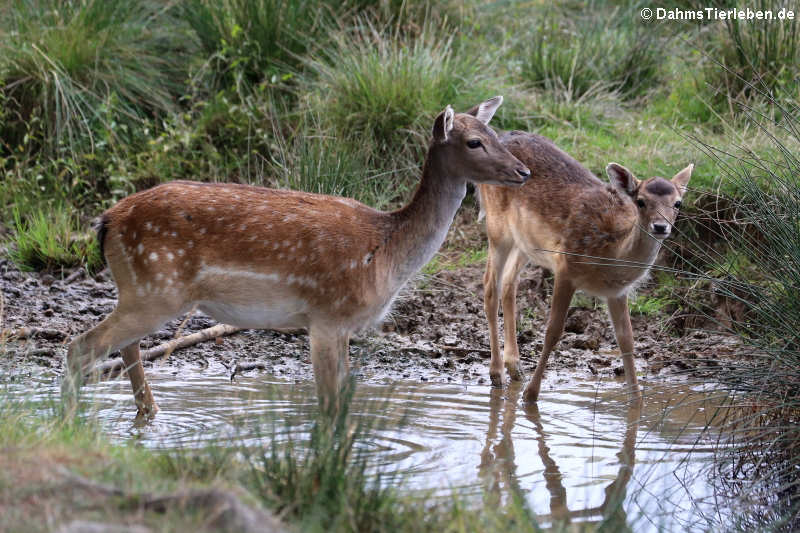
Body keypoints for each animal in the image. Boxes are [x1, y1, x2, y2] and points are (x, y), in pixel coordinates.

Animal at [65, 97, 532, 418]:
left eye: (498, 135)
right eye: (474, 142)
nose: (524, 172)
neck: (384, 254)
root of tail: (106, 221)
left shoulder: (343, 325)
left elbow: (344, 398)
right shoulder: (326, 315)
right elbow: (328, 404)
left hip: (143, 290)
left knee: (123, 348)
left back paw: (148, 415)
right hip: (156, 287)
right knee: (81, 347)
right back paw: (73, 424)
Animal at [478, 131, 692, 402]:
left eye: (678, 203)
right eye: (641, 201)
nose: (661, 226)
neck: (610, 254)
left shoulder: (617, 292)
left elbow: (627, 340)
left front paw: (636, 401)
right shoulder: (566, 266)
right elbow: (553, 331)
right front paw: (531, 395)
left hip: (525, 242)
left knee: (508, 284)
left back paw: (515, 367)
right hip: (497, 226)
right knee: (489, 286)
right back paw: (497, 373)